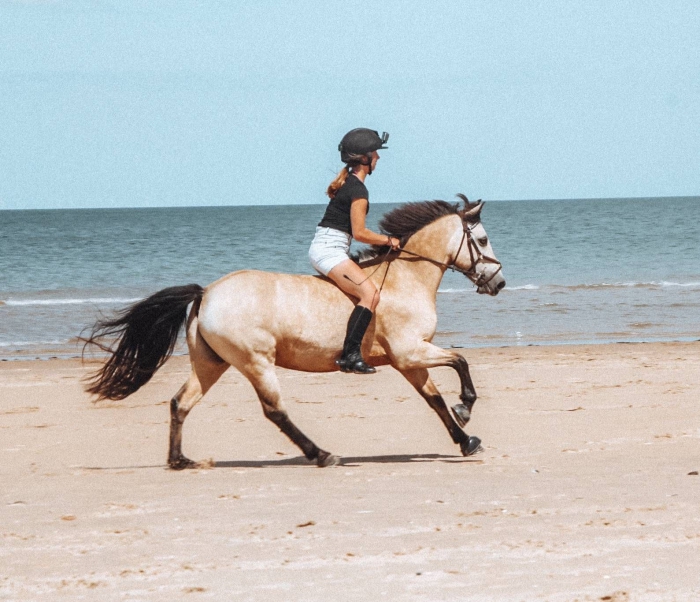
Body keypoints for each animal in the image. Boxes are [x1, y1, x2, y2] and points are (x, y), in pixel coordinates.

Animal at [85, 195, 506, 466]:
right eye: (483, 240)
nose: (499, 283)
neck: (405, 278)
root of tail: (207, 293)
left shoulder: (409, 361)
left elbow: (433, 399)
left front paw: (466, 440)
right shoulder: (409, 352)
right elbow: (460, 362)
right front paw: (465, 409)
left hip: (211, 364)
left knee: (180, 403)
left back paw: (180, 460)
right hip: (256, 362)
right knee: (274, 410)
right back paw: (322, 454)